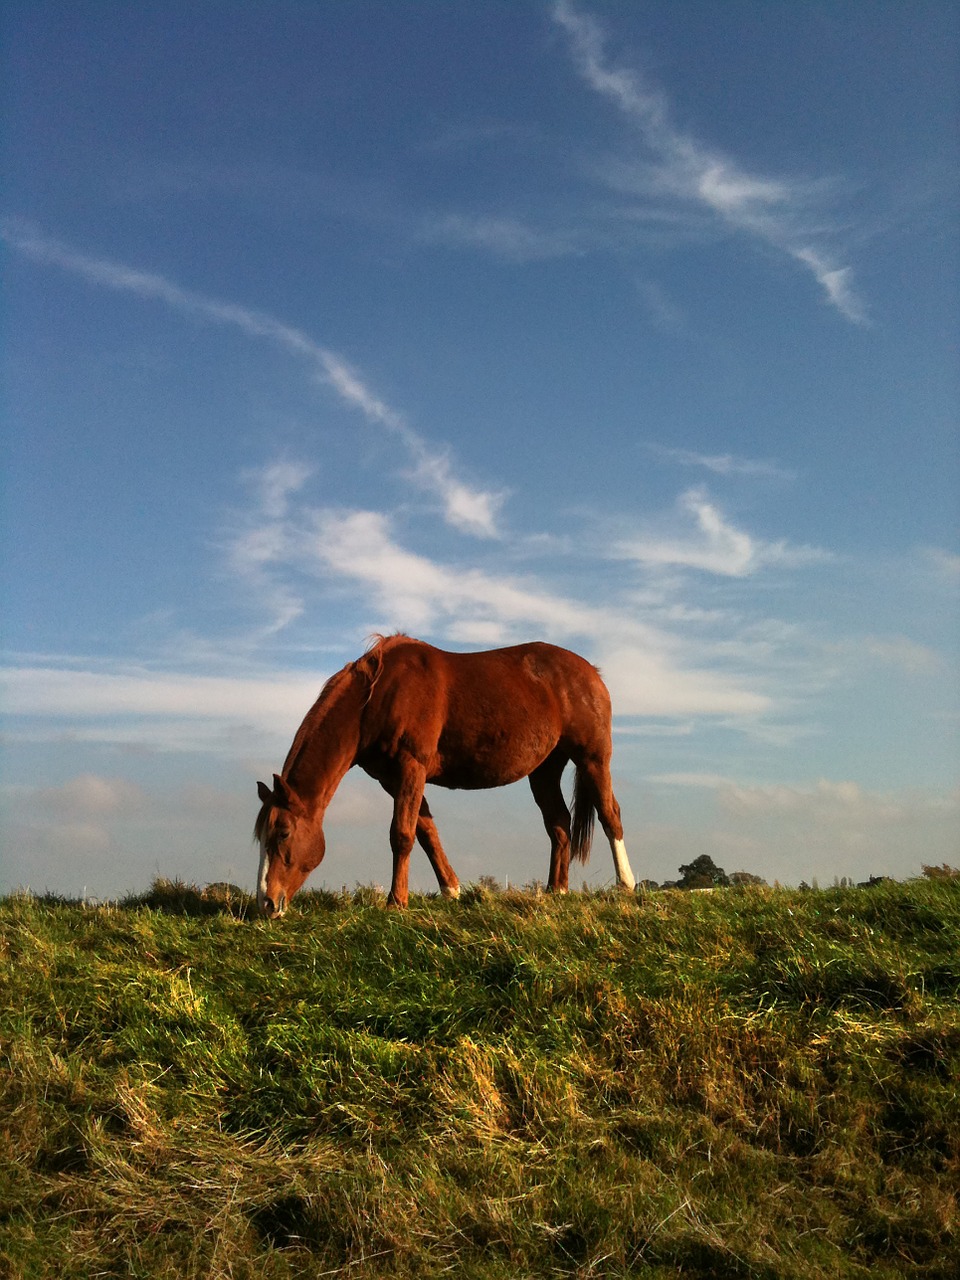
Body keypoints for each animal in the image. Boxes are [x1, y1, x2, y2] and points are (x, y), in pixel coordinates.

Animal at [253, 634, 640, 916]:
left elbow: (402, 834)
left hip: (592, 759)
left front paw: (396, 902)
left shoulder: (411, 766)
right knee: (559, 824)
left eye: (283, 833)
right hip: (544, 770)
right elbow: (426, 832)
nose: (267, 904)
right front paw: (451, 890)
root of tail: (591, 672)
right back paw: (555, 891)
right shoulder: (393, 778)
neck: (379, 695)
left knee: (610, 814)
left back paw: (626, 885)